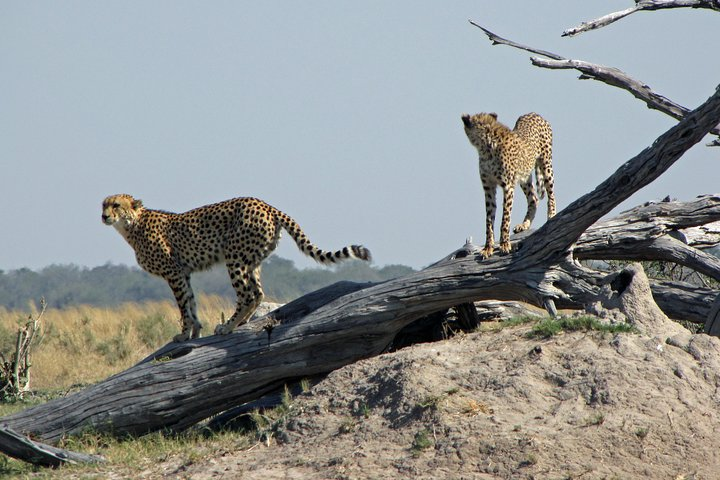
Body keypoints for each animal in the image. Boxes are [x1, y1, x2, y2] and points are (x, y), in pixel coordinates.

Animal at [102, 194, 371, 342]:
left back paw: (228, 326)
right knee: (258, 293)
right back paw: (242, 323)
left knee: (246, 294)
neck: (132, 225)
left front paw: (185, 334)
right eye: (103, 205)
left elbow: (183, 308)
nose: (104, 216)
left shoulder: (173, 272)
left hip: (235, 257)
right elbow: (191, 303)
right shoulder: (183, 273)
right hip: (252, 260)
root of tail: (268, 205)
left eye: (116, 205)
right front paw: (195, 333)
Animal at [461, 112, 556, 259]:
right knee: (533, 199)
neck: (486, 147)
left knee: (551, 194)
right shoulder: (489, 188)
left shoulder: (508, 186)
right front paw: (488, 248)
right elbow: (489, 220)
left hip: (546, 163)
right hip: (524, 177)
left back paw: (552, 216)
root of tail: (534, 113)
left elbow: (505, 218)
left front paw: (505, 244)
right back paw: (524, 225)